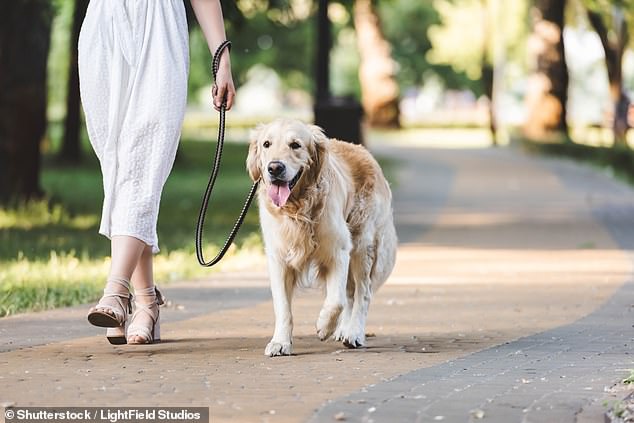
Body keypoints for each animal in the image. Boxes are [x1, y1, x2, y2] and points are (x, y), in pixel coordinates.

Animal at [244, 119, 392, 358]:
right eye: (266, 144)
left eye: (295, 145)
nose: (274, 168)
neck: (297, 209)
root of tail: (363, 150)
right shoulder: (278, 258)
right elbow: (283, 307)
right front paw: (280, 342)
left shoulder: (339, 251)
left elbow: (336, 300)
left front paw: (324, 326)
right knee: (350, 292)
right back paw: (343, 330)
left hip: (362, 243)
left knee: (362, 292)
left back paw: (353, 333)